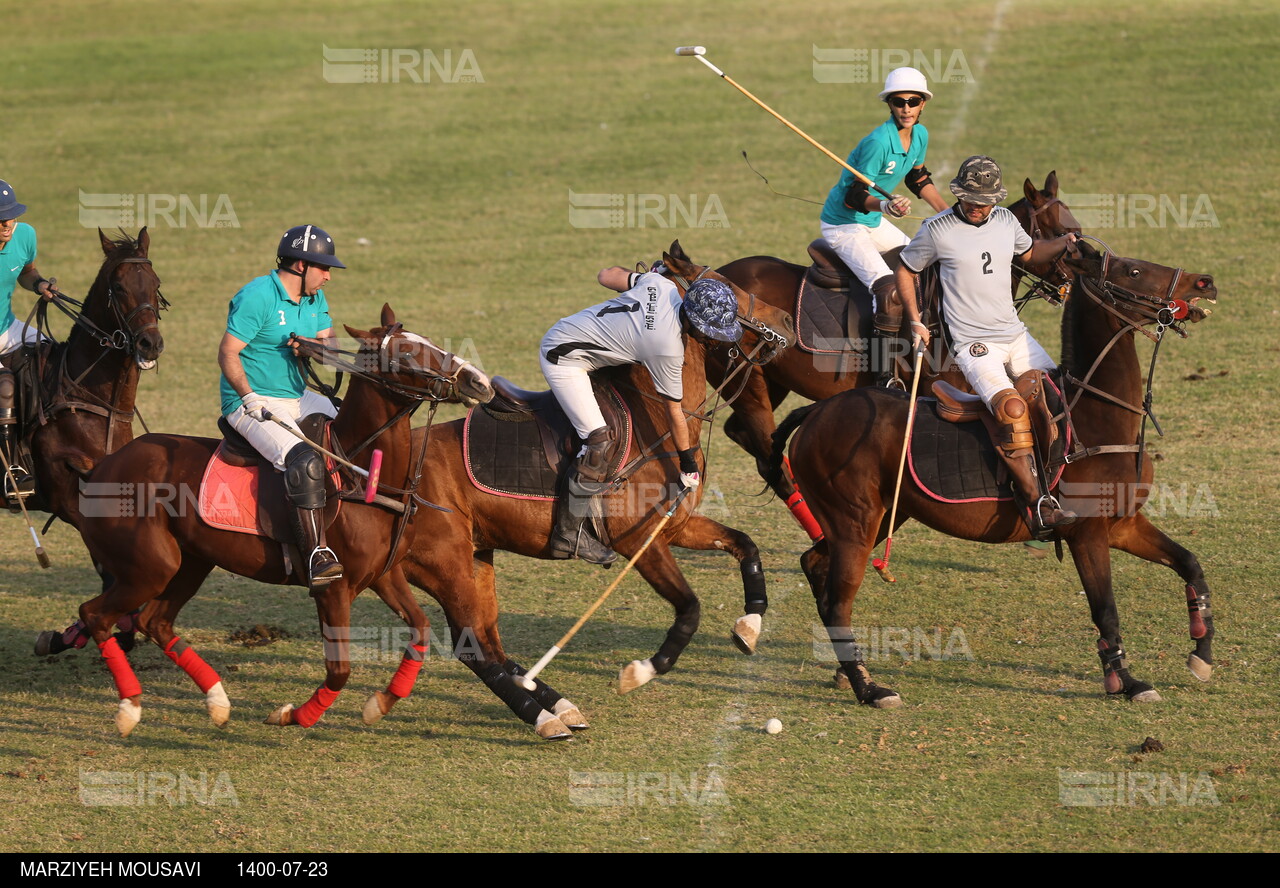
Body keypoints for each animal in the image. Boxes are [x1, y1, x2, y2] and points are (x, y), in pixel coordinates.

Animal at [63, 305, 494, 737]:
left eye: (430, 342)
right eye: (406, 353)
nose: (480, 382)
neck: (363, 475)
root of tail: (100, 467)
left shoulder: (384, 575)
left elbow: (420, 628)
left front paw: (379, 704)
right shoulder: (332, 589)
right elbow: (340, 670)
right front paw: (293, 715)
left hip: (190, 562)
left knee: (155, 621)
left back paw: (218, 702)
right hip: (150, 567)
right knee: (95, 615)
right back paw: (130, 707)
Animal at [355, 240, 798, 742]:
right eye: (731, 291)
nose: (787, 322)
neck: (657, 420)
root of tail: (382, 476)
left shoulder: (674, 526)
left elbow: (745, 545)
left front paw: (750, 625)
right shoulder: (637, 540)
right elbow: (689, 609)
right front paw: (639, 672)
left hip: (475, 555)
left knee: (488, 637)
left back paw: (556, 705)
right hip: (442, 564)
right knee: (474, 647)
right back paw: (544, 716)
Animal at [711, 175, 1080, 506]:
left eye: (1074, 225)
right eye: (1058, 232)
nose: (1076, 280)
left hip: (771, 380)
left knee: (743, 434)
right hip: (748, 383)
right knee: (763, 450)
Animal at [768, 243, 1218, 711]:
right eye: (1133, 271)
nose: (1205, 282)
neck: (1097, 416)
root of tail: (814, 412)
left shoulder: (1123, 524)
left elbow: (1190, 564)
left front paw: (1201, 653)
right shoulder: (1088, 533)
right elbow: (1106, 609)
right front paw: (1126, 680)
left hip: (874, 517)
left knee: (815, 566)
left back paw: (846, 671)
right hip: (855, 522)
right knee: (839, 602)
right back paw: (870, 688)